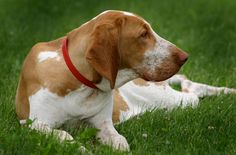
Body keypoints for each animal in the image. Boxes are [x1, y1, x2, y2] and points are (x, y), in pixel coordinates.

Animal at [15, 10, 235, 151]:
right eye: (143, 34)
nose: (184, 57)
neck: (82, 85)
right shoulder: (33, 124)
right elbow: (63, 134)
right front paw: (80, 147)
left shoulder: (104, 125)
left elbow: (121, 142)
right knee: (187, 84)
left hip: (170, 99)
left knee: (191, 89)